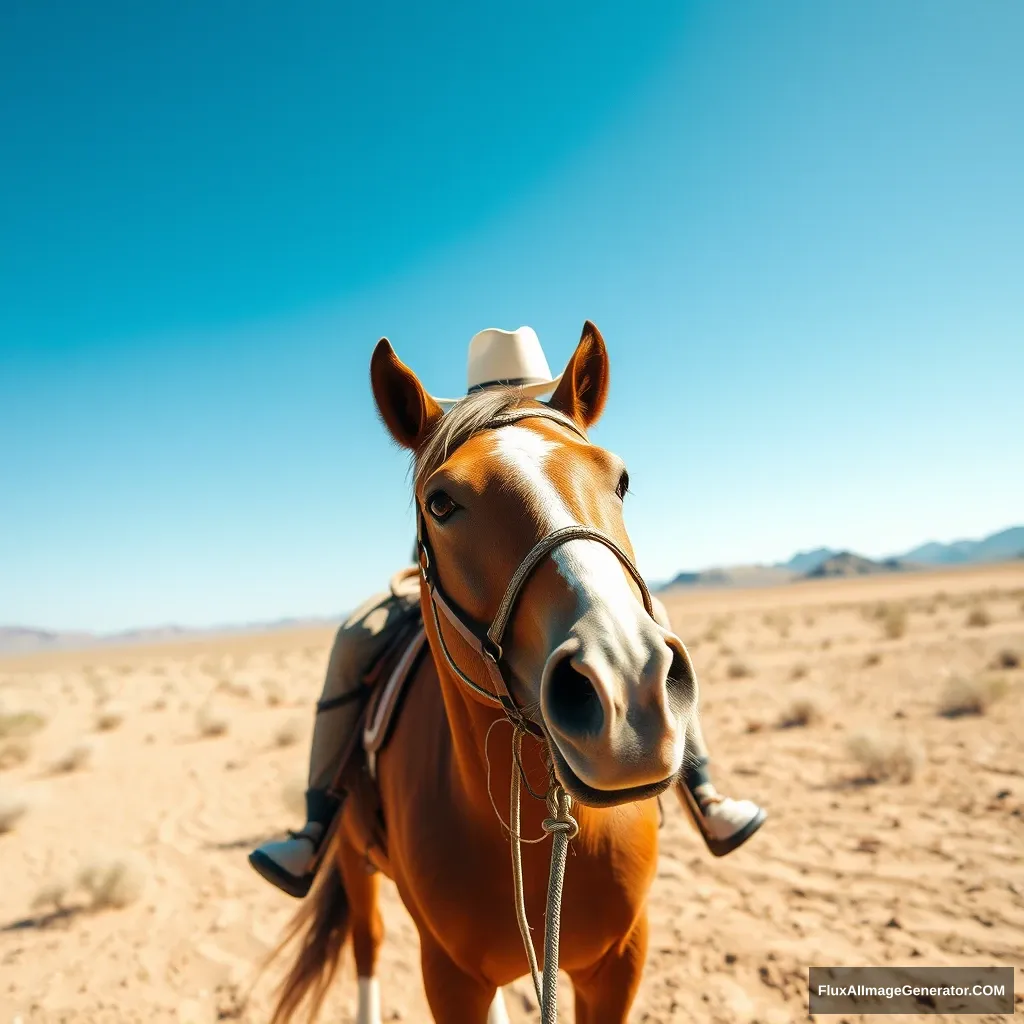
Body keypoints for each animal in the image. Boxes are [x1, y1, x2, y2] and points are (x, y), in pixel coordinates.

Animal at [266, 321, 696, 1024]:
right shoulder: (450, 975)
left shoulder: (619, 961)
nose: (627, 689)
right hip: (354, 860)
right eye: (440, 503)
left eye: (622, 481)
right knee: (366, 942)